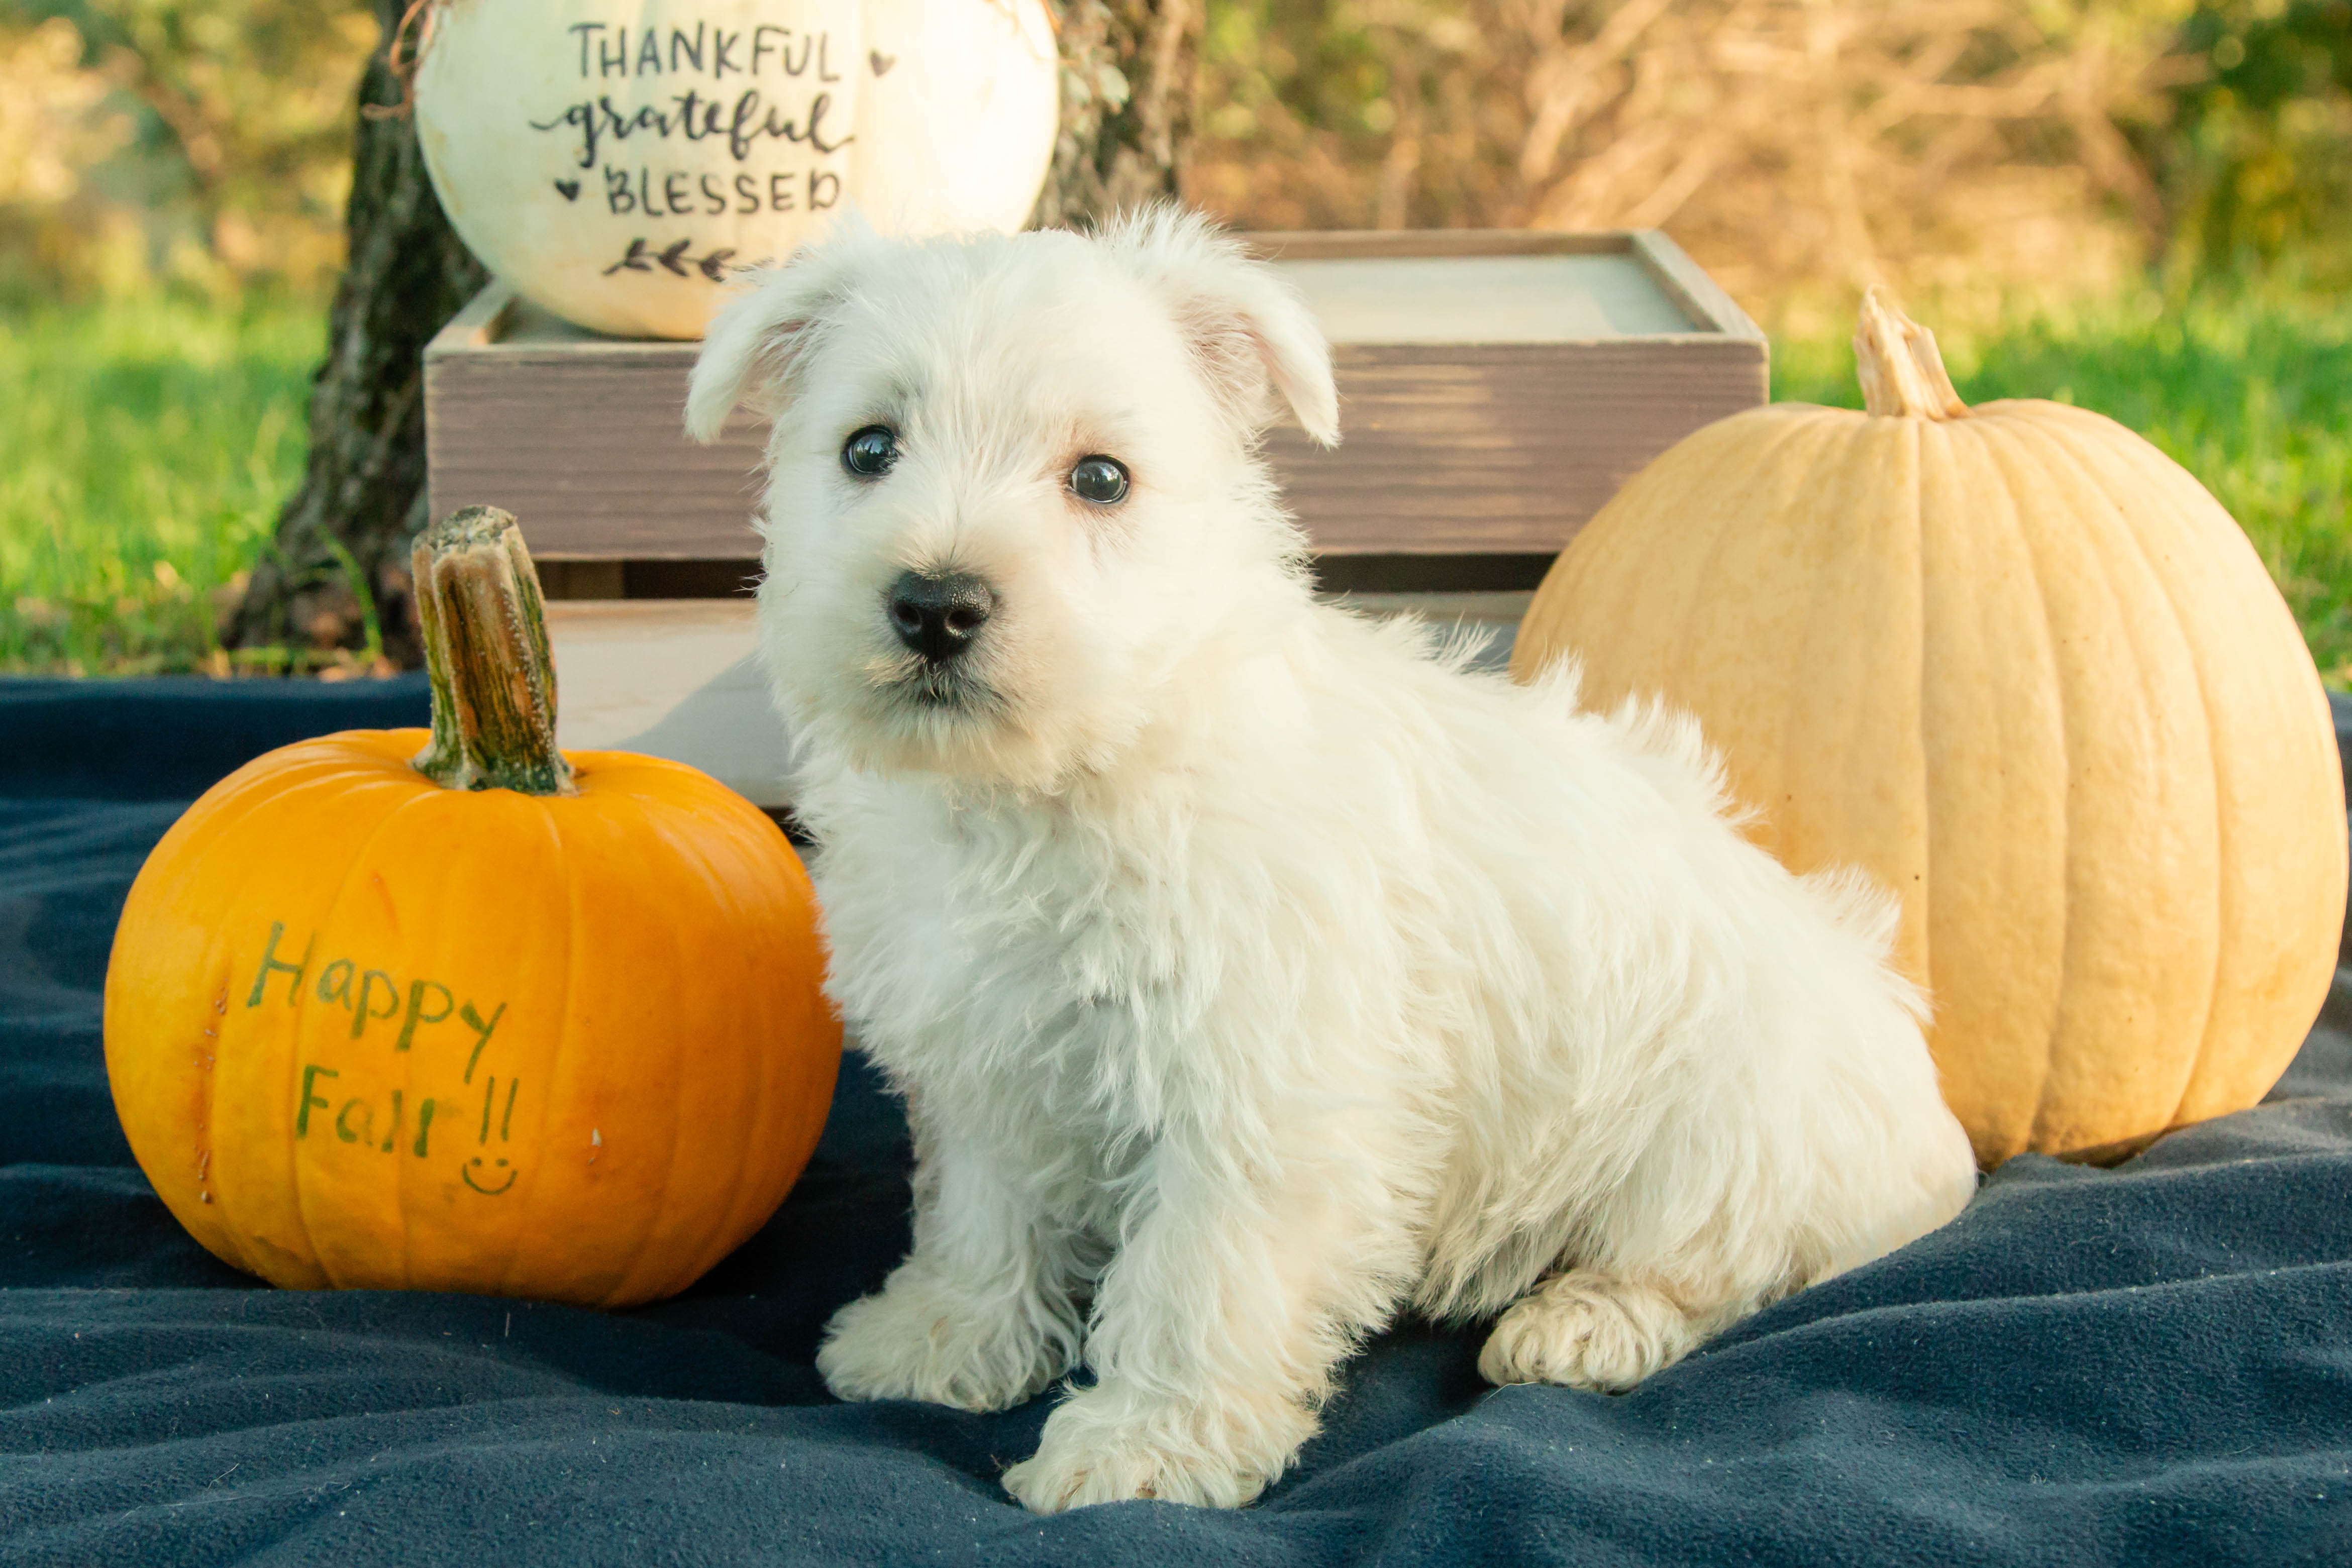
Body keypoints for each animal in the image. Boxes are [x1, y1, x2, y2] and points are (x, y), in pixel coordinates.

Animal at [686, 212, 1985, 1523]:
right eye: (868, 448)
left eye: (1100, 477)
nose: (937, 604)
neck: (1058, 780)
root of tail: (1931, 1133)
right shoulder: (986, 1053)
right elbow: (984, 1210)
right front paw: (948, 1335)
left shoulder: (1253, 1084)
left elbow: (1198, 1273)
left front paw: (1146, 1446)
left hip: (1735, 1124)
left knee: (1726, 1264)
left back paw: (1579, 1322)